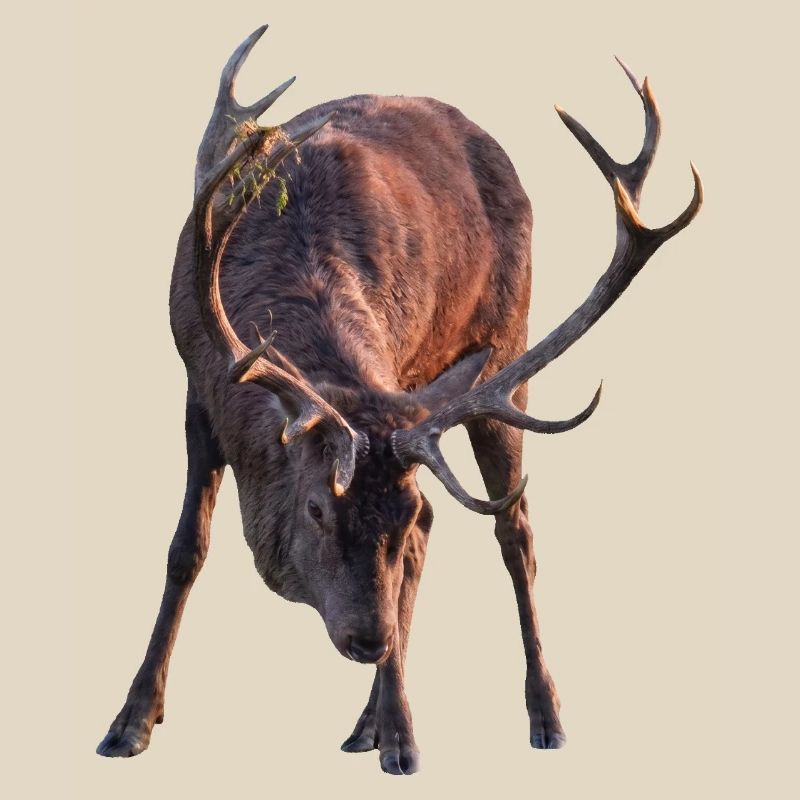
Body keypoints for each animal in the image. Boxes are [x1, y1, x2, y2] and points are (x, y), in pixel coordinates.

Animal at [96, 25, 702, 775]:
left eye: (397, 510)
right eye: (317, 507)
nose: (370, 640)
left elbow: (422, 543)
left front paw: (405, 736)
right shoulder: (198, 390)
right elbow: (186, 549)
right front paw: (130, 723)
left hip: (506, 348)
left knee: (514, 530)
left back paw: (536, 715)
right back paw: (370, 723)